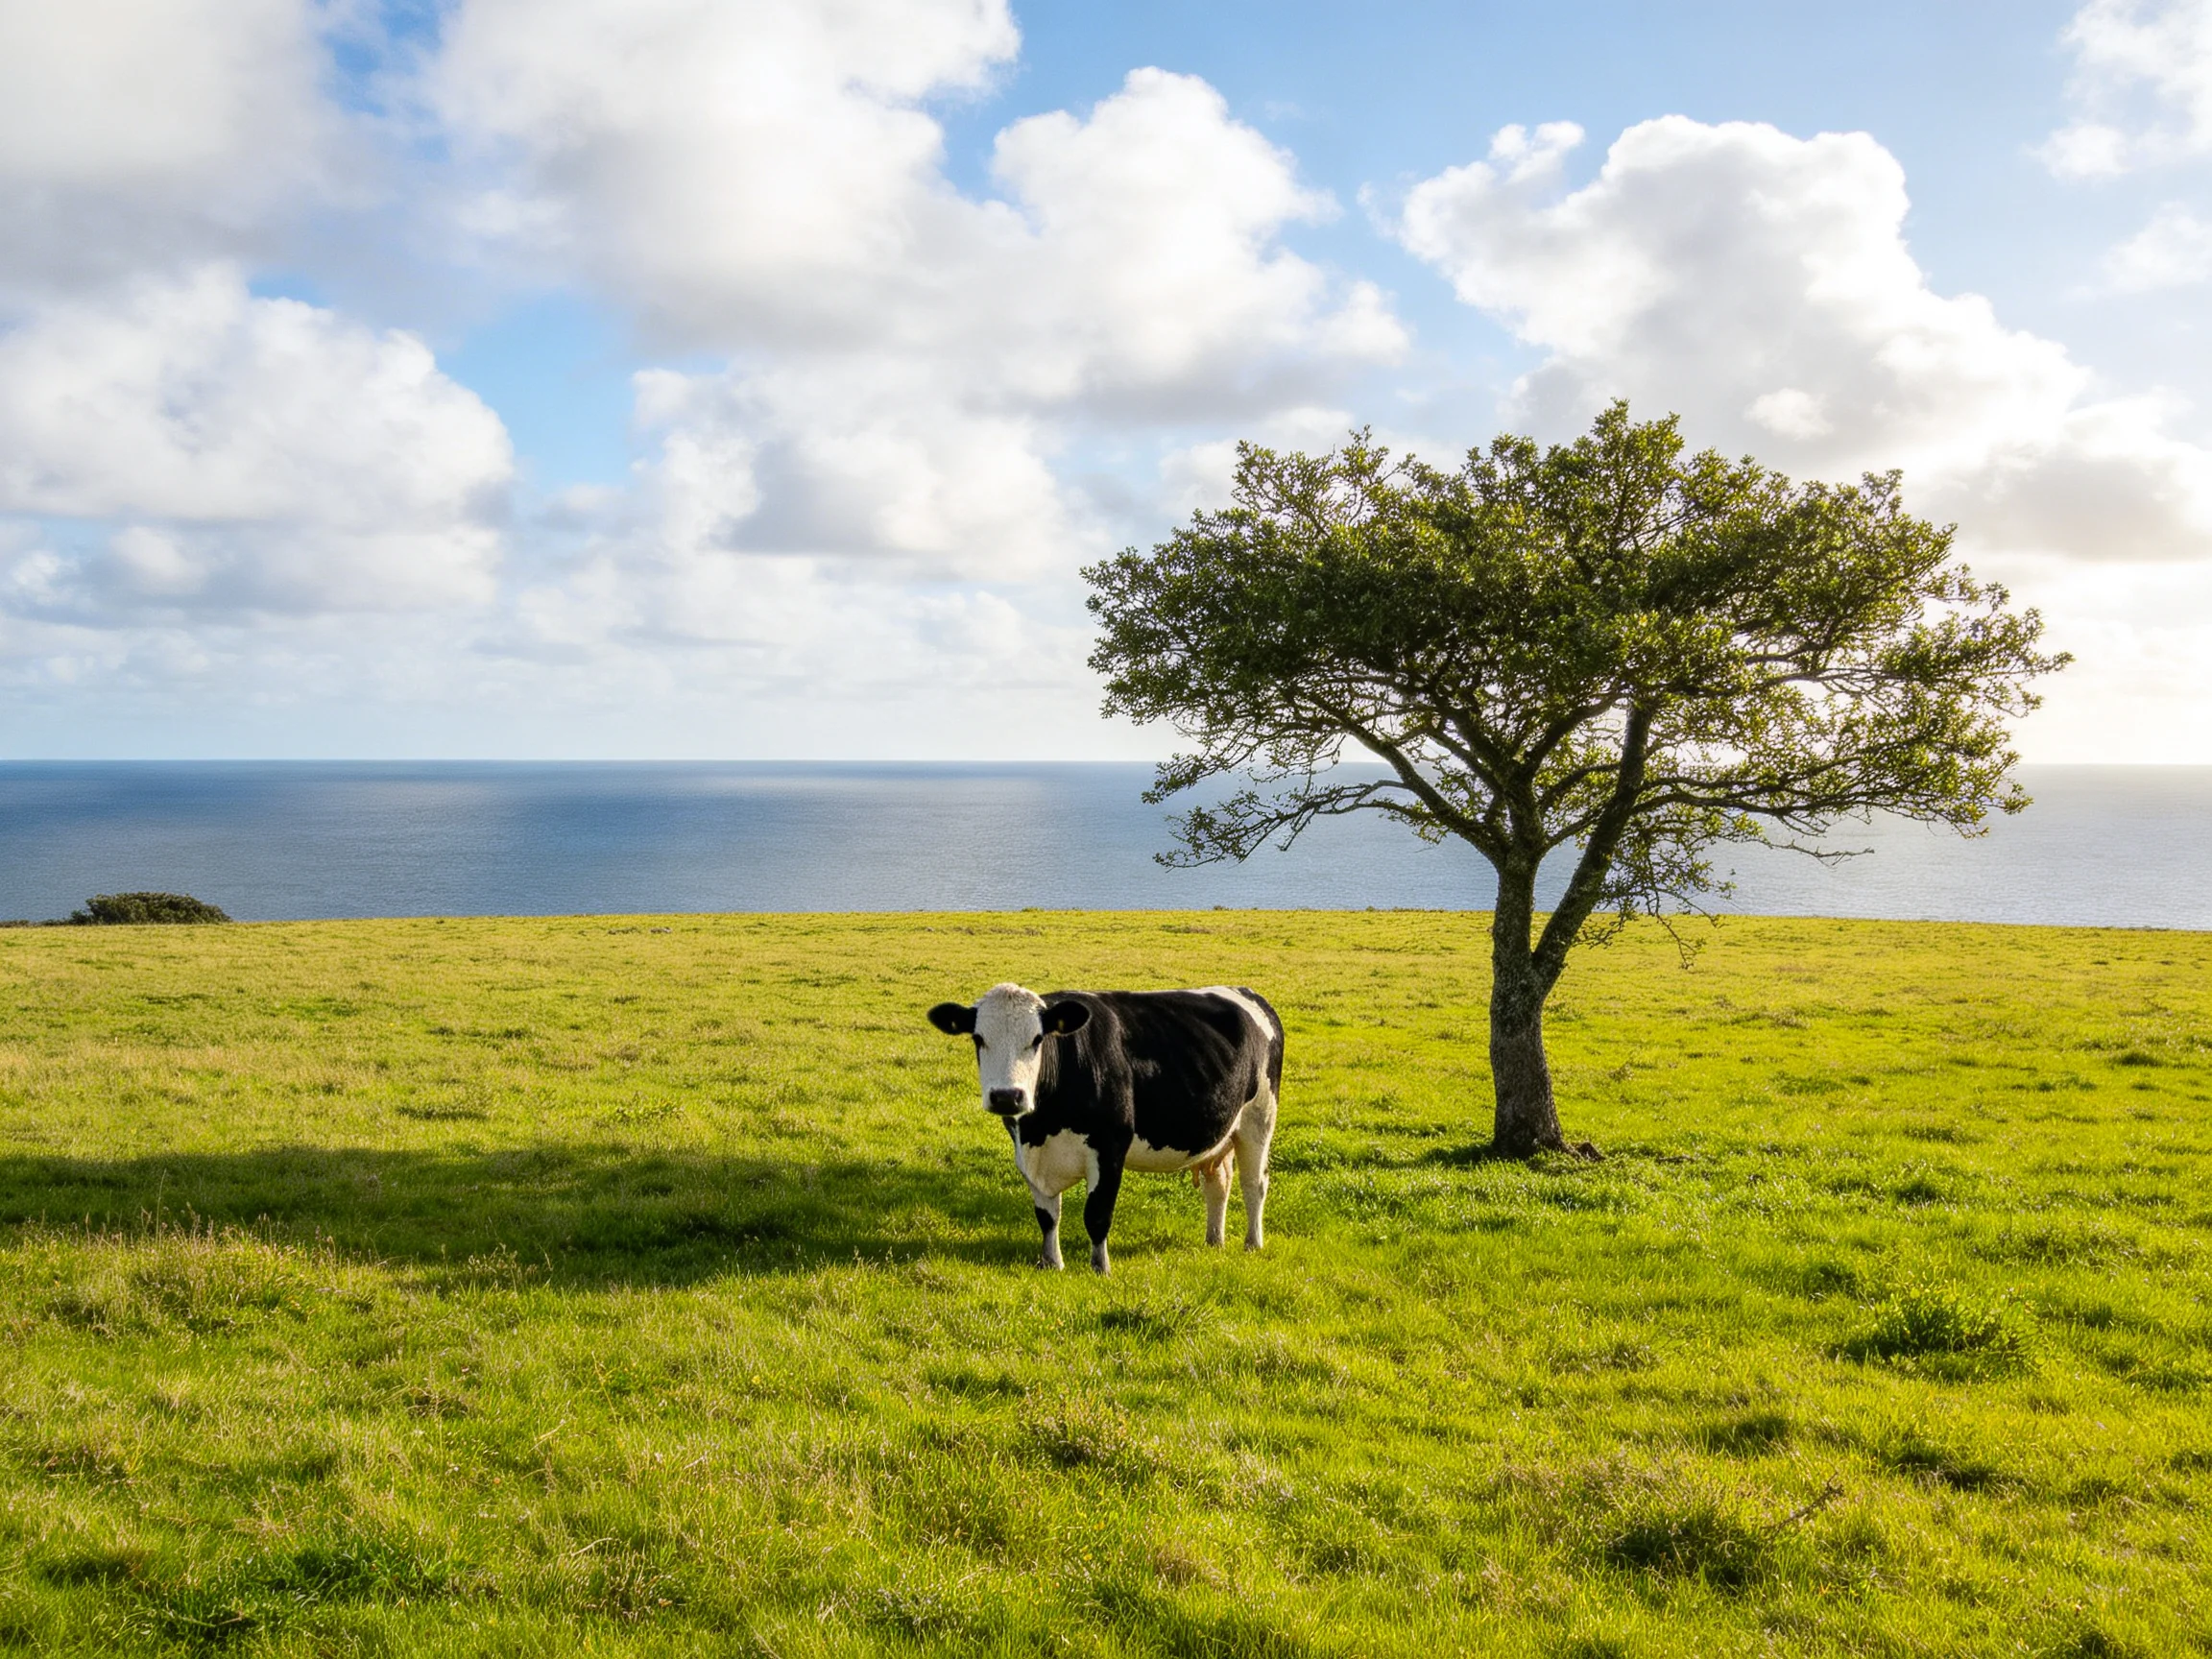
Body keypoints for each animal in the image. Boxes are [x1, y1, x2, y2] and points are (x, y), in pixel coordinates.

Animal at [926, 982, 1282, 1274]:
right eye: (978, 1038)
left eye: (1037, 1039)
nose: (1006, 1096)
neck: (1044, 1124)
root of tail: (1247, 992)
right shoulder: (1028, 1151)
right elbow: (1047, 1215)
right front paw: (1051, 1262)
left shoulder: (1110, 1147)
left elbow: (1097, 1214)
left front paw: (1100, 1267)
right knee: (1218, 1182)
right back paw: (1214, 1240)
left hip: (1259, 1120)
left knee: (1254, 1184)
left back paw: (1252, 1243)